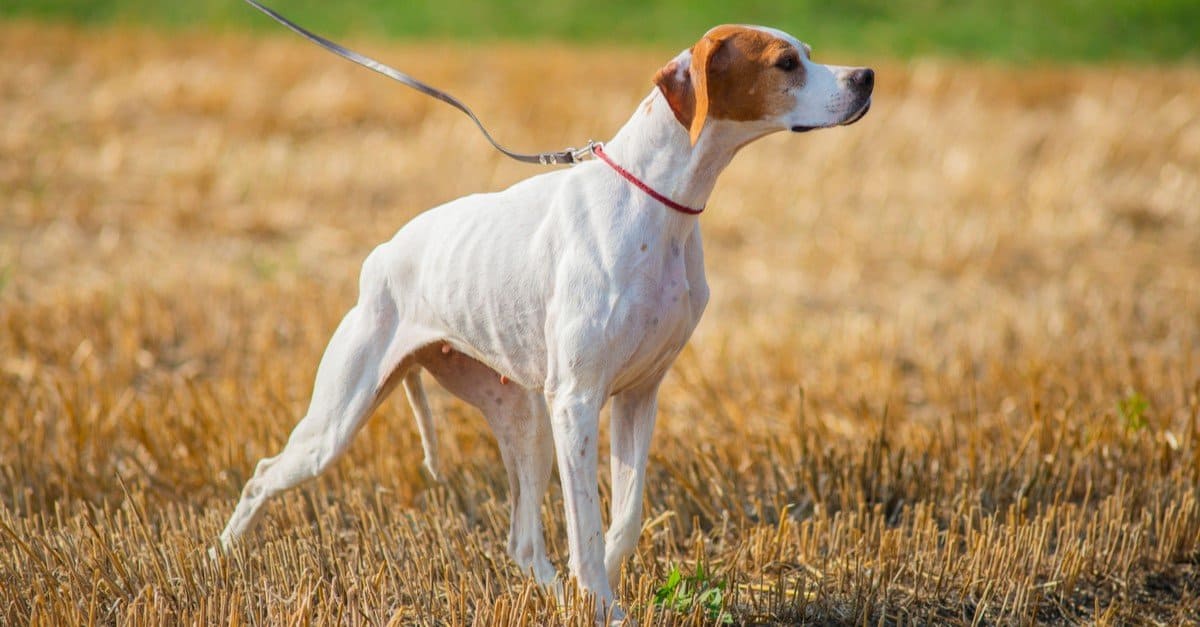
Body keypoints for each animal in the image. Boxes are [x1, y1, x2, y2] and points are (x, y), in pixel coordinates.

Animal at [218, 25, 873, 619]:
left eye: (809, 53)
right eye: (786, 62)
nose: (866, 76)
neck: (654, 203)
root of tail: (381, 255)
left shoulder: (639, 395)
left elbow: (625, 518)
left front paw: (603, 594)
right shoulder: (577, 402)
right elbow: (585, 524)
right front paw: (601, 603)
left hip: (523, 420)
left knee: (523, 541)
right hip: (338, 423)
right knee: (262, 475)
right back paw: (220, 559)